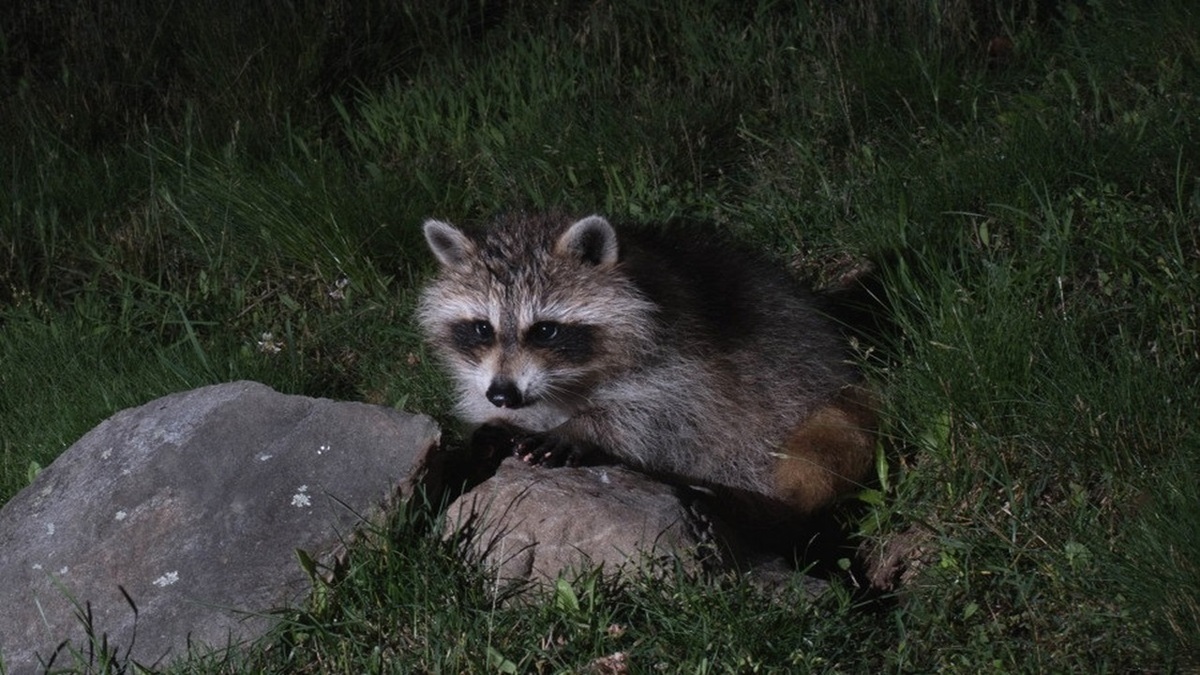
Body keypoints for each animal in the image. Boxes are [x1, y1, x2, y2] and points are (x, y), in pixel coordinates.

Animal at [417, 212, 878, 516]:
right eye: (482, 328)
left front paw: (584, 427)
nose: (503, 395)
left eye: (545, 330)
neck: (568, 384)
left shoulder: (689, 356)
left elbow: (668, 415)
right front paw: (497, 425)